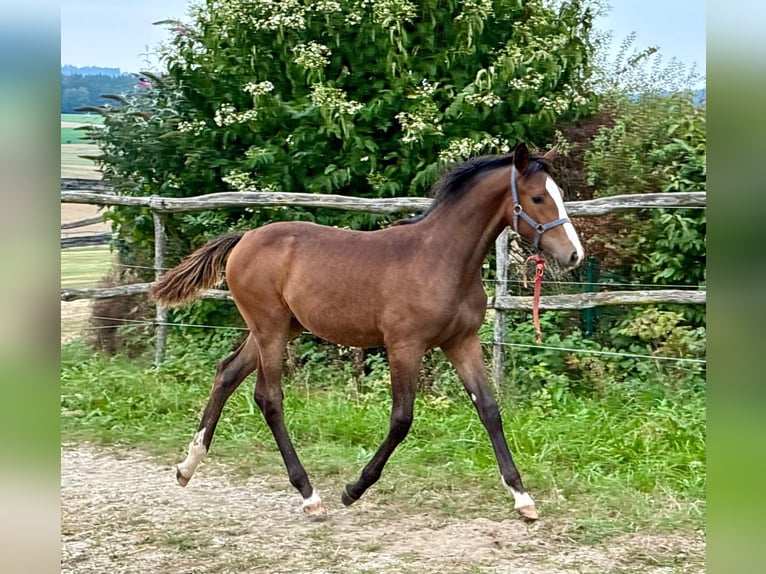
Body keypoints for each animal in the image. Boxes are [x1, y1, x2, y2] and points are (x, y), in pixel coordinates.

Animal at [152, 143, 588, 520]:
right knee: (269, 397)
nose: (574, 255)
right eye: (538, 198)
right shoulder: (405, 346)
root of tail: (245, 239)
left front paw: (522, 497)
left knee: (226, 373)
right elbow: (402, 419)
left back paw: (187, 467)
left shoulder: (460, 342)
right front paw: (353, 489)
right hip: (269, 328)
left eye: (558, 194)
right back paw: (309, 495)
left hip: (279, 328)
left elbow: (489, 410)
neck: (441, 259)